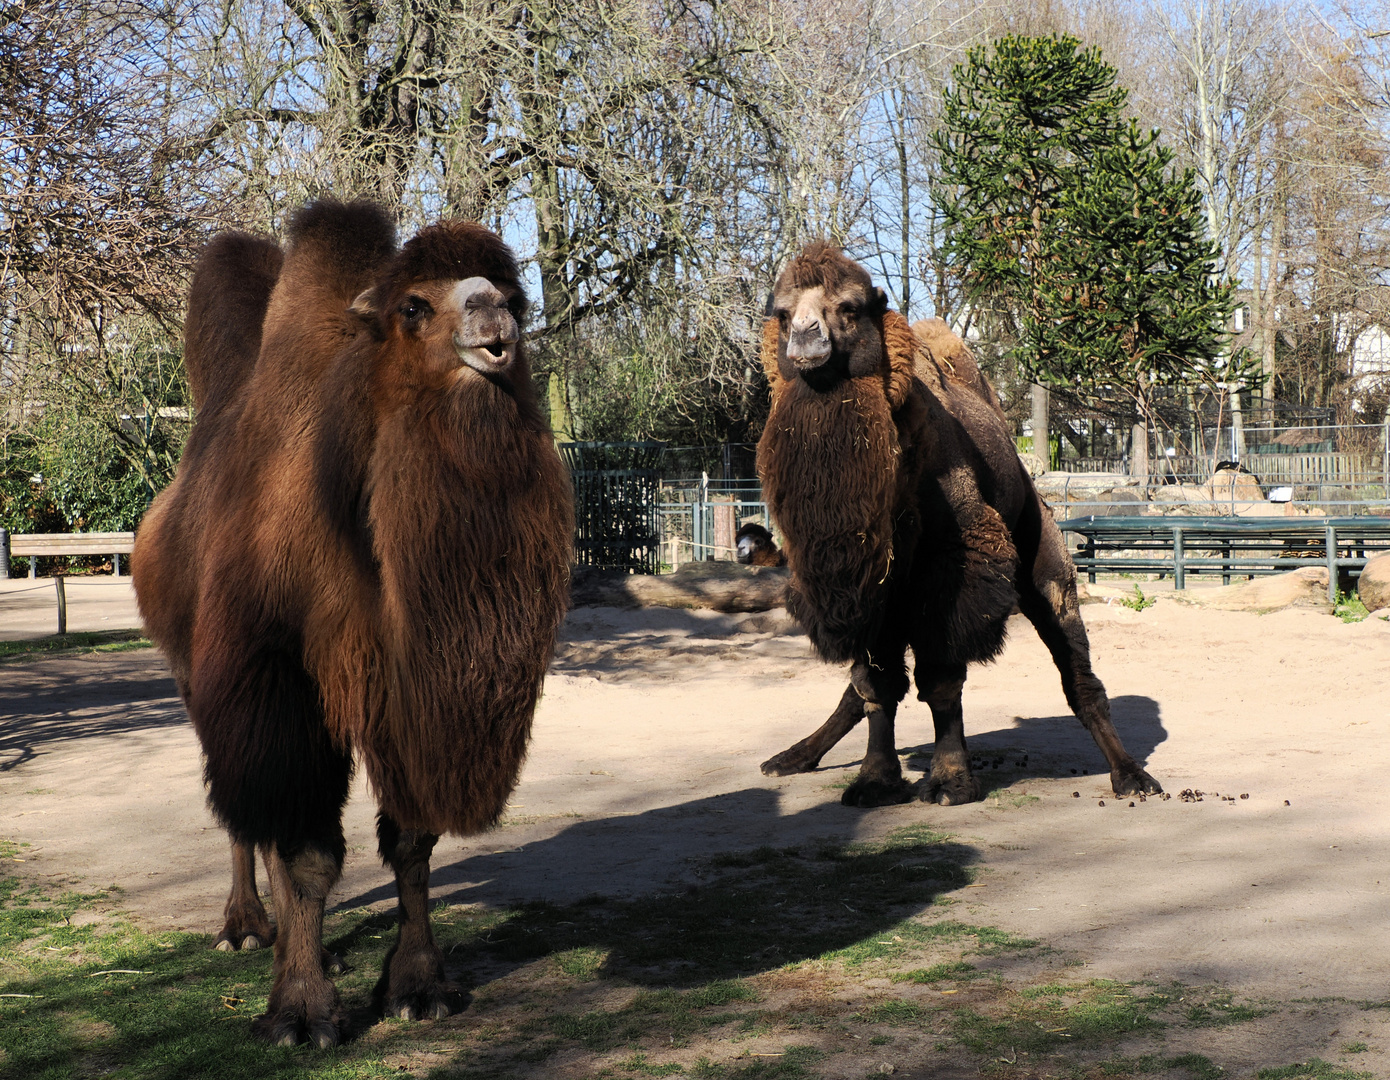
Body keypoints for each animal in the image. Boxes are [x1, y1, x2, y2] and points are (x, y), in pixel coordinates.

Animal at [134, 202, 575, 1045]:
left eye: (515, 294)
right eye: (414, 307)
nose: (493, 316)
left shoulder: (409, 689)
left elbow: (412, 839)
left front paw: (417, 986)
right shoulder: (283, 679)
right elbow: (305, 850)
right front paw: (301, 1012)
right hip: (199, 674)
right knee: (246, 813)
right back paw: (247, 929)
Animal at [756, 240, 1156, 806]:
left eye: (850, 308)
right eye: (783, 313)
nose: (805, 340)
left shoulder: (953, 564)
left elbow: (941, 677)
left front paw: (949, 782)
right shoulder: (867, 586)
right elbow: (877, 687)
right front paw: (874, 783)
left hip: (1045, 557)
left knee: (1074, 663)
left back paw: (1131, 776)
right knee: (859, 687)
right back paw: (790, 758)